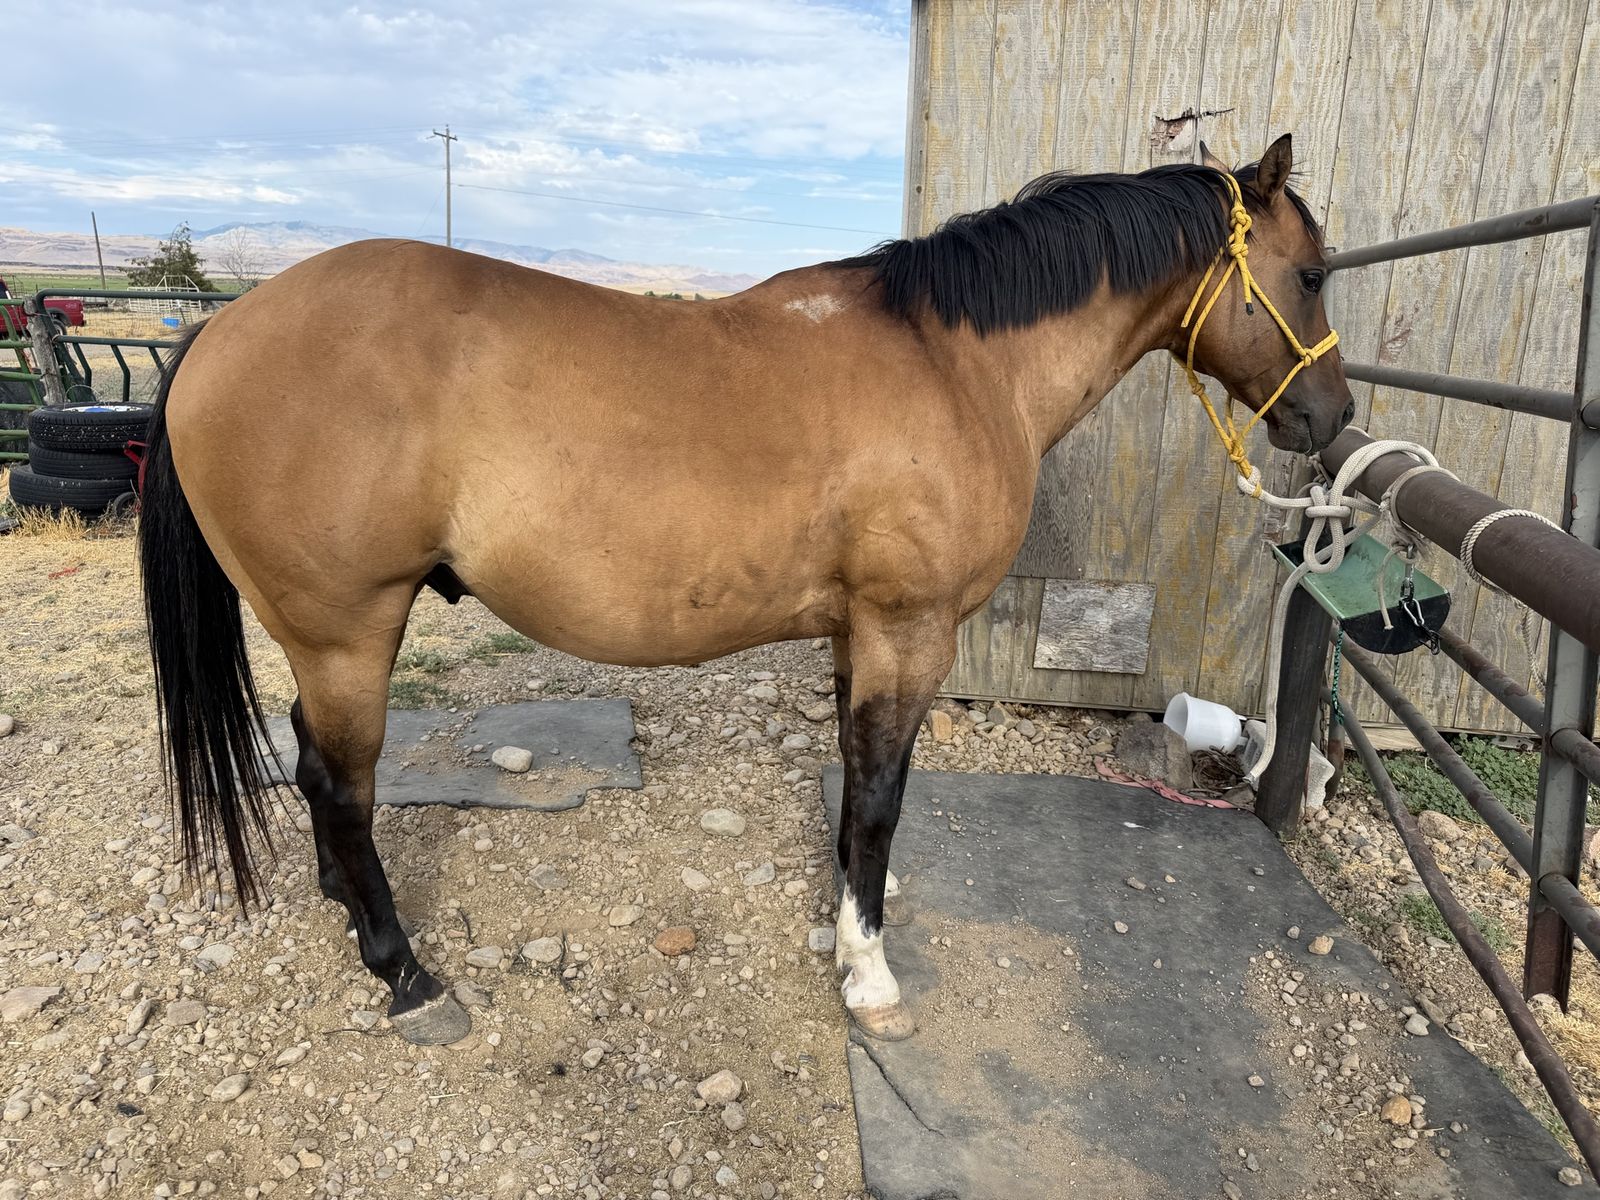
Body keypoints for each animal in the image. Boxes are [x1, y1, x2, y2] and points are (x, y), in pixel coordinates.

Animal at [138, 134, 1351, 1047]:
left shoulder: (857, 634)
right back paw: (404, 973)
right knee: (339, 787)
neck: (956, 362)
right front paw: (868, 973)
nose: (1330, 416)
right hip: (346, 634)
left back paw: (348, 912)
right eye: (1311, 272)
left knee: (312, 770)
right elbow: (880, 794)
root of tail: (223, 327)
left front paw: (847, 920)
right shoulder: (908, 632)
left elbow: (857, 793)